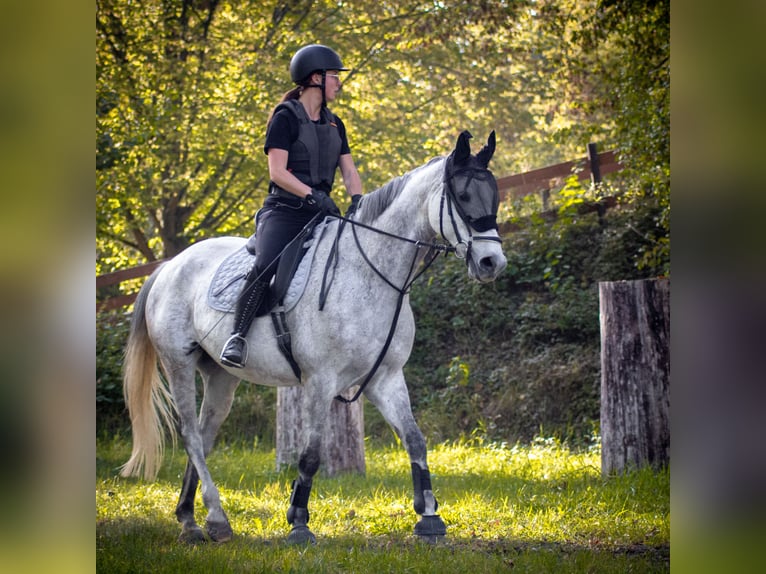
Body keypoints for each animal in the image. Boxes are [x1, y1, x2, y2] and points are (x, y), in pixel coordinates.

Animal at [121, 133, 510, 548]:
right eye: (463, 196)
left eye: (494, 196)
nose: (492, 263)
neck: (370, 272)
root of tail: (170, 265)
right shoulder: (320, 381)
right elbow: (310, 455)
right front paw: (299, 523)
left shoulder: (385, 378)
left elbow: (415, 439)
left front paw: (429, 517)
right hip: (178, 362)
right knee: (192, 436)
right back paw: (214, 519)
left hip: (221, 376)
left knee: (205, 438)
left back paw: (193, 517)